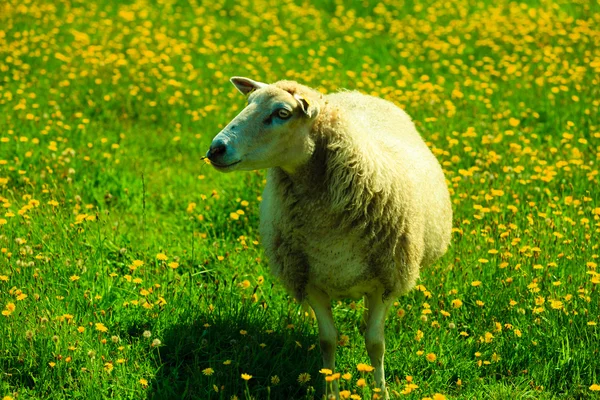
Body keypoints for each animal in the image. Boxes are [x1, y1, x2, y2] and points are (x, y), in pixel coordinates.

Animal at [205, 76, 450, 398]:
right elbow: (328, 340)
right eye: (248, 103)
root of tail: (357, 93)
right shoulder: (308, 280)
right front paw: (330, 391)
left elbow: (375, 343)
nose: (216, 149)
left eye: (282, 113)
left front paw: (380, 391)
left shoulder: (386, 283)